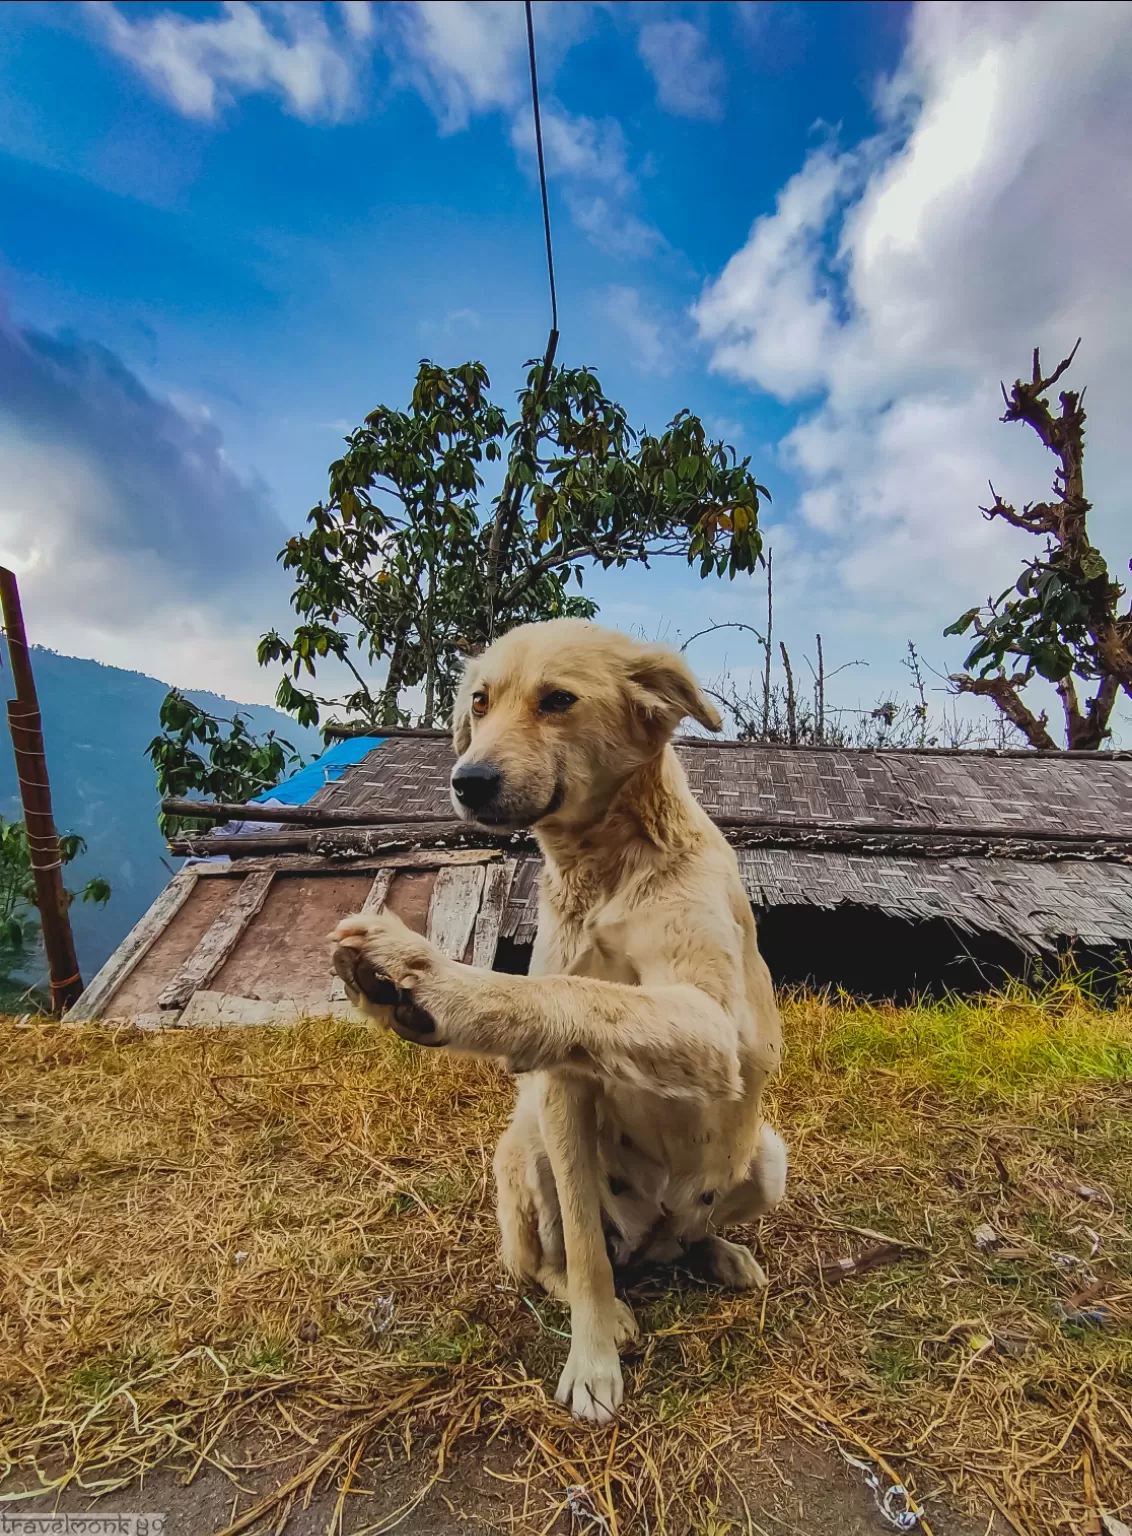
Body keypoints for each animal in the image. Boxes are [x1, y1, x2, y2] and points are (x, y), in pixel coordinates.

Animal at [331, 617, 780, 1419]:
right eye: (479, 702)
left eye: (558, 700)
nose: (467, 781)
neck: (607, 868)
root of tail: (652, 1237)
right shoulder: (566, 1091)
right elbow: (584, 1248)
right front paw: (595, 1355)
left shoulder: (713, 1025)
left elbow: (570, 995)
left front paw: (428, 980)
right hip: (531, 1144)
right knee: (548, 1263)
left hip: (764, 1158)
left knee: (694, 1230)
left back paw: (718, 1253)